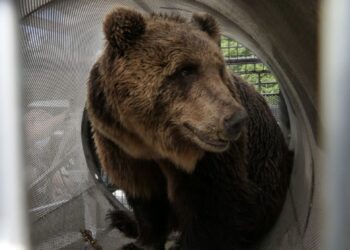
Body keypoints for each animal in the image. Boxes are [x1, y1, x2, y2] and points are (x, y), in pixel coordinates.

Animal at [87, 6, 292, 249]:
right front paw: (142, 240)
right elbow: (145, 197)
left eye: (219, 69)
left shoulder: (210, 162)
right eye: (185, 70)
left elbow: (215, 211)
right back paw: (121, 218)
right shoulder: (121, 145)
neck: (153, 142)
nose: (236, 119)